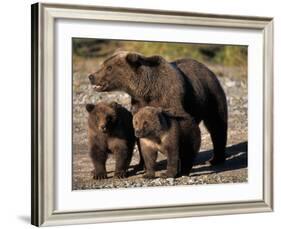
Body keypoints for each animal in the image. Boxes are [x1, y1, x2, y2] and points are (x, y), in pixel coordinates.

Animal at [88, 51, 226, 165]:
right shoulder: (139, 104)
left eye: (109, 67)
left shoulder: (170, 98)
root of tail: (207, 68)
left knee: (217, 124)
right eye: (103, 65)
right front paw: (142, 164)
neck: (148, 90)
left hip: (211, 94)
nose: (91, 76)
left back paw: (215, 159)